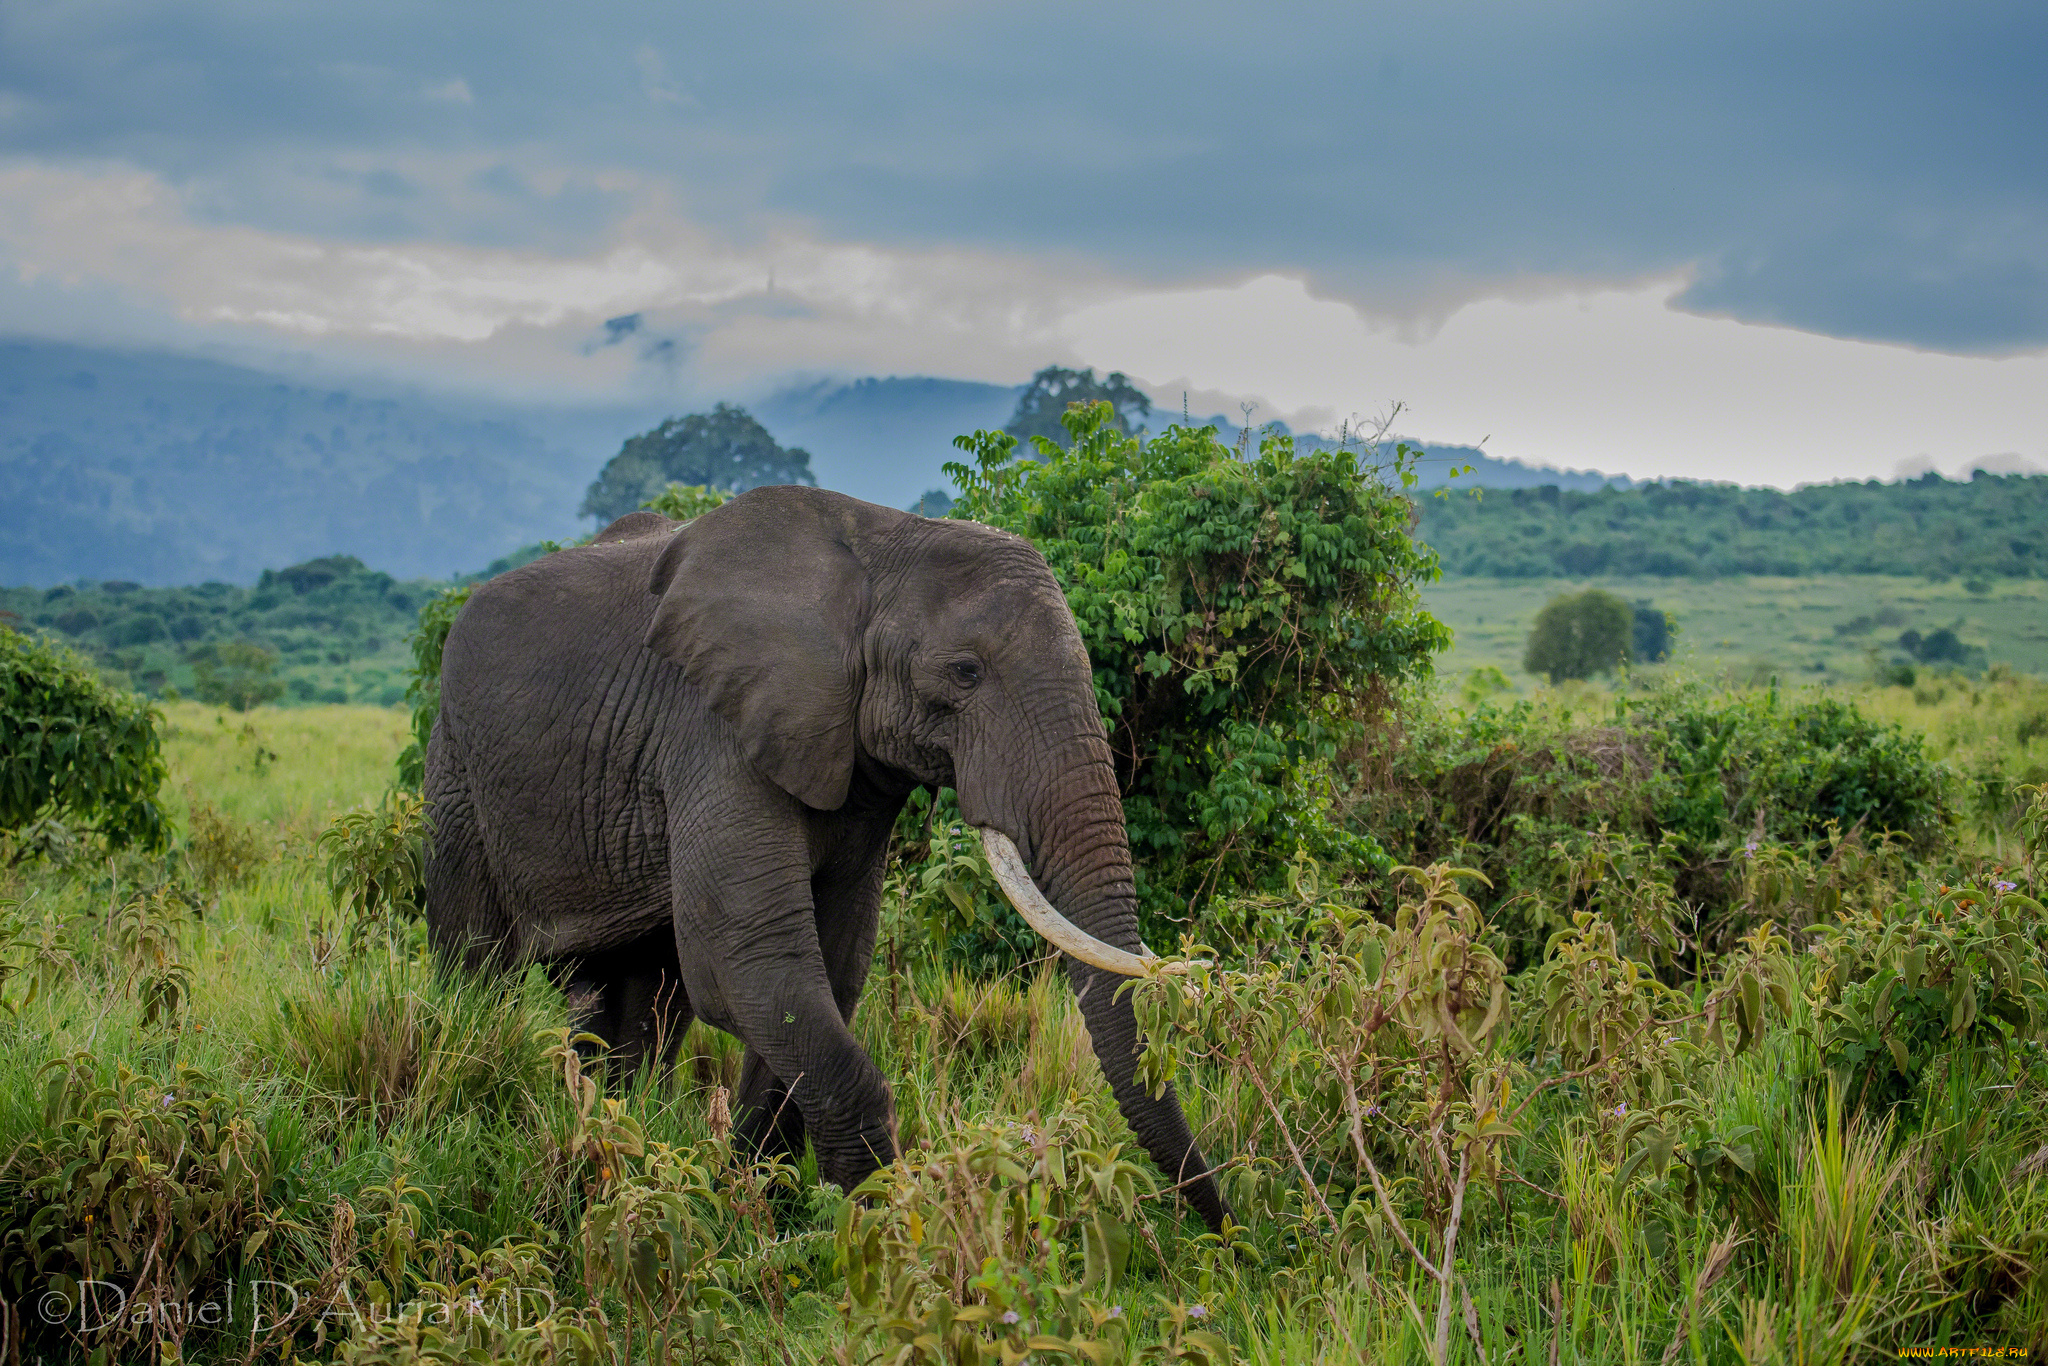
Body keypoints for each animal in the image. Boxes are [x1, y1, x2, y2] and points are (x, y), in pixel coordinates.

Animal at [428, 489, 1228, 1228]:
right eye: (965, 672)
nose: (1224, 1231)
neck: (880, 546)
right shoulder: (713, 733)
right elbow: (746, 964)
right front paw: (878, 1237)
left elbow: (828, 968)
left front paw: (760, 1206)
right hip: (456, 772)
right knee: (477, 964)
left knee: (640, 995)